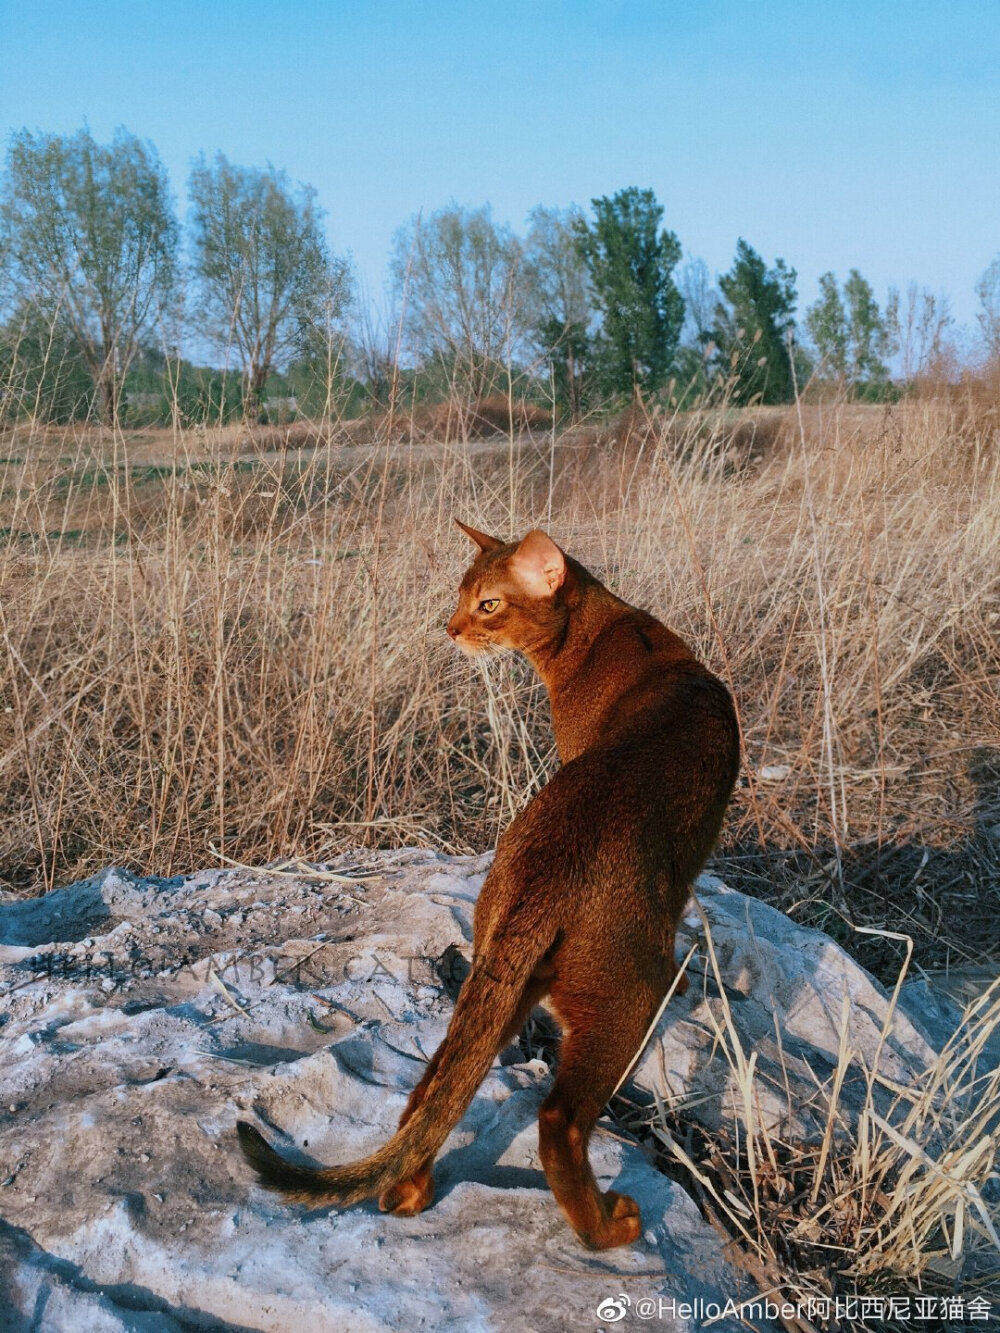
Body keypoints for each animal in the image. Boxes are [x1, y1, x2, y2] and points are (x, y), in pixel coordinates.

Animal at [238, 522, 741, 1247]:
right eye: (464, 600)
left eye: (487, 604)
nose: (449, 629)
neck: (612, 631)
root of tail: (540, 874)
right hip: (626, 992)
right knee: (559, 1120)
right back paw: (608, 1228)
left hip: (504, 977)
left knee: (432, 1086)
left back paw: (409, 1192)